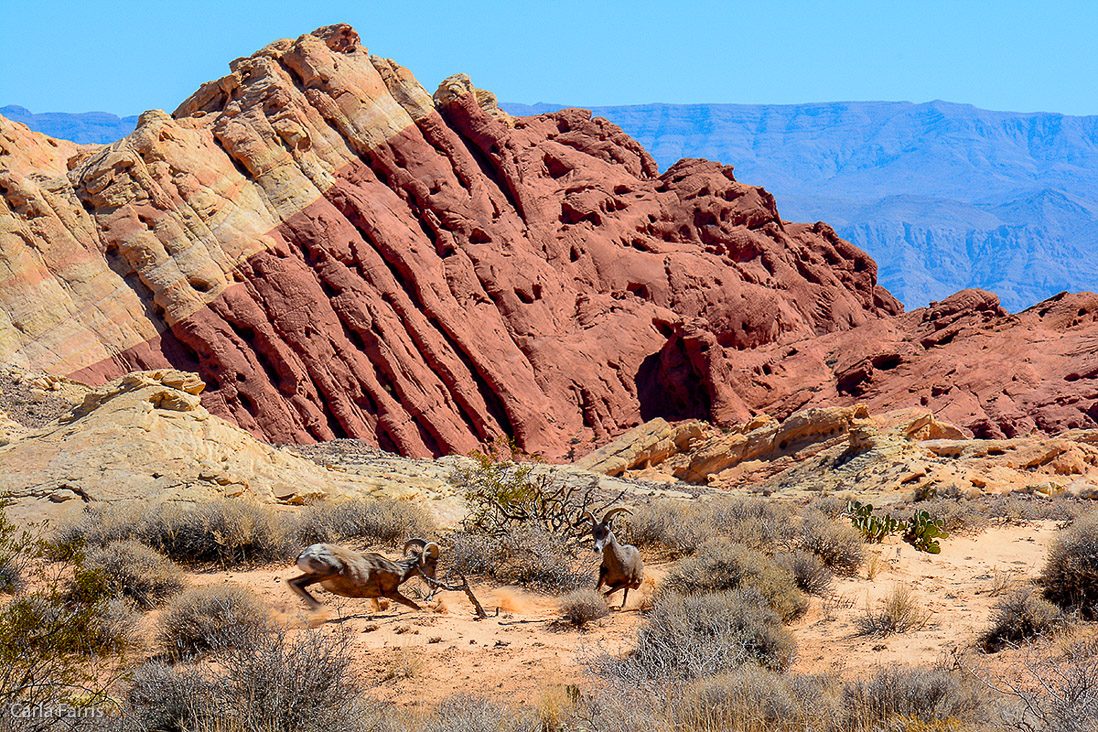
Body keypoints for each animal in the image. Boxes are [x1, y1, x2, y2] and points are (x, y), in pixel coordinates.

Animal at [287, 537, 441, 614]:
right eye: (433, 566)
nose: (434, 585)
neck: (399, 569)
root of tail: (304, 555)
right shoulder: (391, 592)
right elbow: (412, 604)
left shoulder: (374, 596)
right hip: (331, 570)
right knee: (296, 584)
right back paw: (320, 609)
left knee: (292, 582)